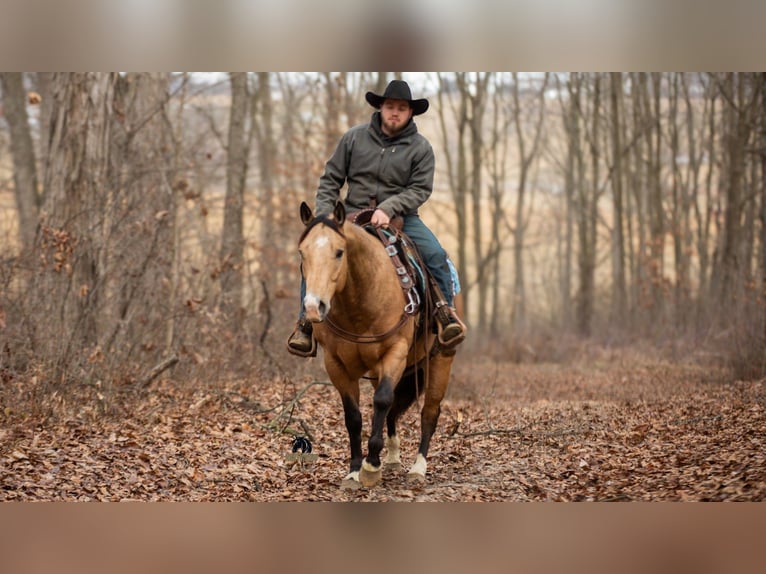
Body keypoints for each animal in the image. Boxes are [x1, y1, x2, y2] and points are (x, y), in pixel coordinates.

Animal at [297, 200, 456, 489]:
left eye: (339, 252)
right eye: (302, 253)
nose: (314, 307)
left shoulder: (395, 353)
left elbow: (382, 401)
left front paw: (371, 466)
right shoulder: (335, 364)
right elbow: (353, 416)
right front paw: (354, 471)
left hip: (441, 359)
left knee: (428, 413)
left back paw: (418, 468)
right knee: (393, 412)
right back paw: (392, 459)